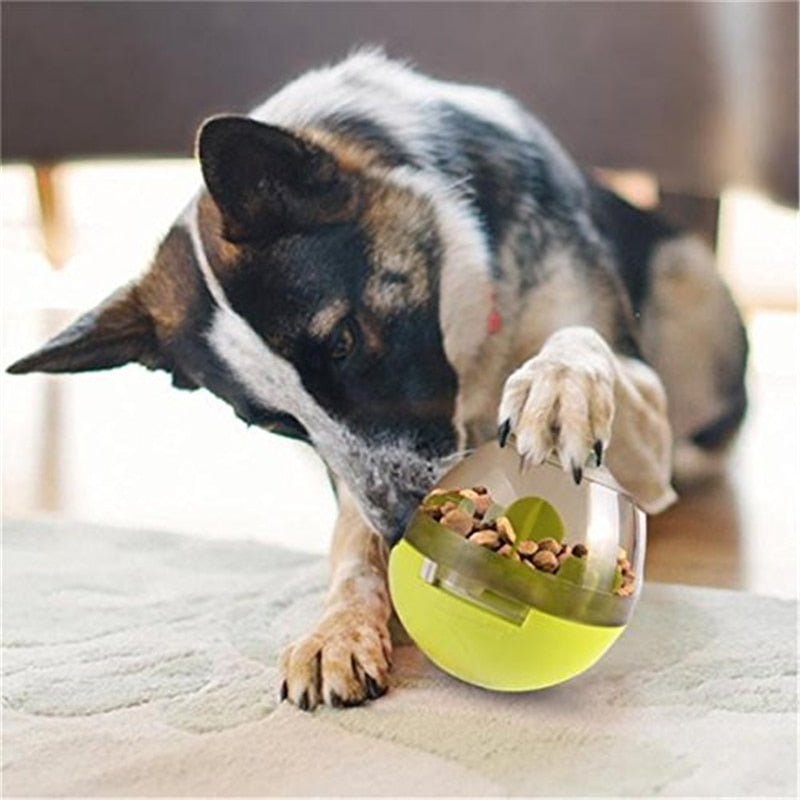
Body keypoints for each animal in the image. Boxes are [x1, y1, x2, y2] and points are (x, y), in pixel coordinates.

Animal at [6, 51, 748, 712]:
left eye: (341, 340)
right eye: (275, 423)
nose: (401, 527)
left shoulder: (636, 396)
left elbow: (578, 346)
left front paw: (556, 388)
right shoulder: (351, 475)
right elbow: (350, 547)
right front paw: (338, 630)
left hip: (691, 290)